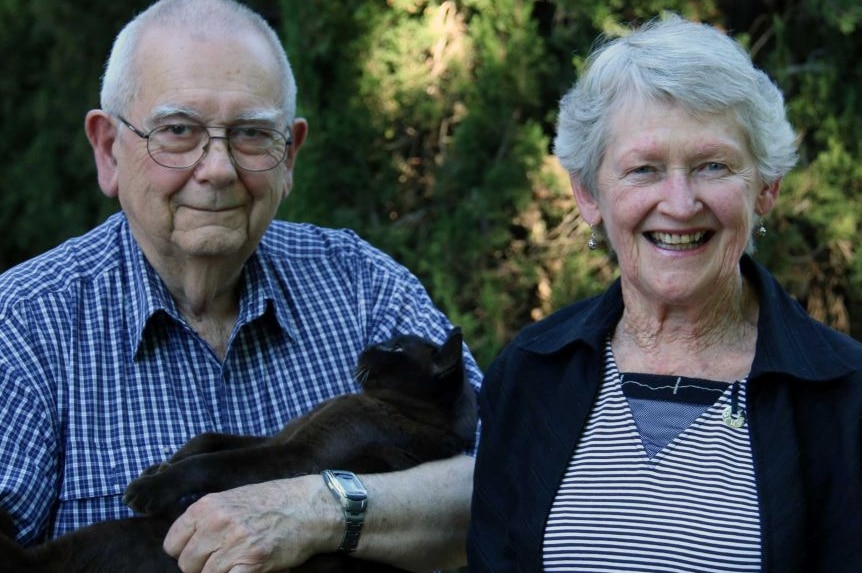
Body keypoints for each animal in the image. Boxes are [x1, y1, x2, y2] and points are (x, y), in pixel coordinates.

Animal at [0, 328, 480, 572]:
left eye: (396, 348)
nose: (366, 346)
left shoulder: (288, 458)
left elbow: (212, 460)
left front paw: (150, 487)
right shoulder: (277, 438)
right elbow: (207, 439)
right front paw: (158, 468)